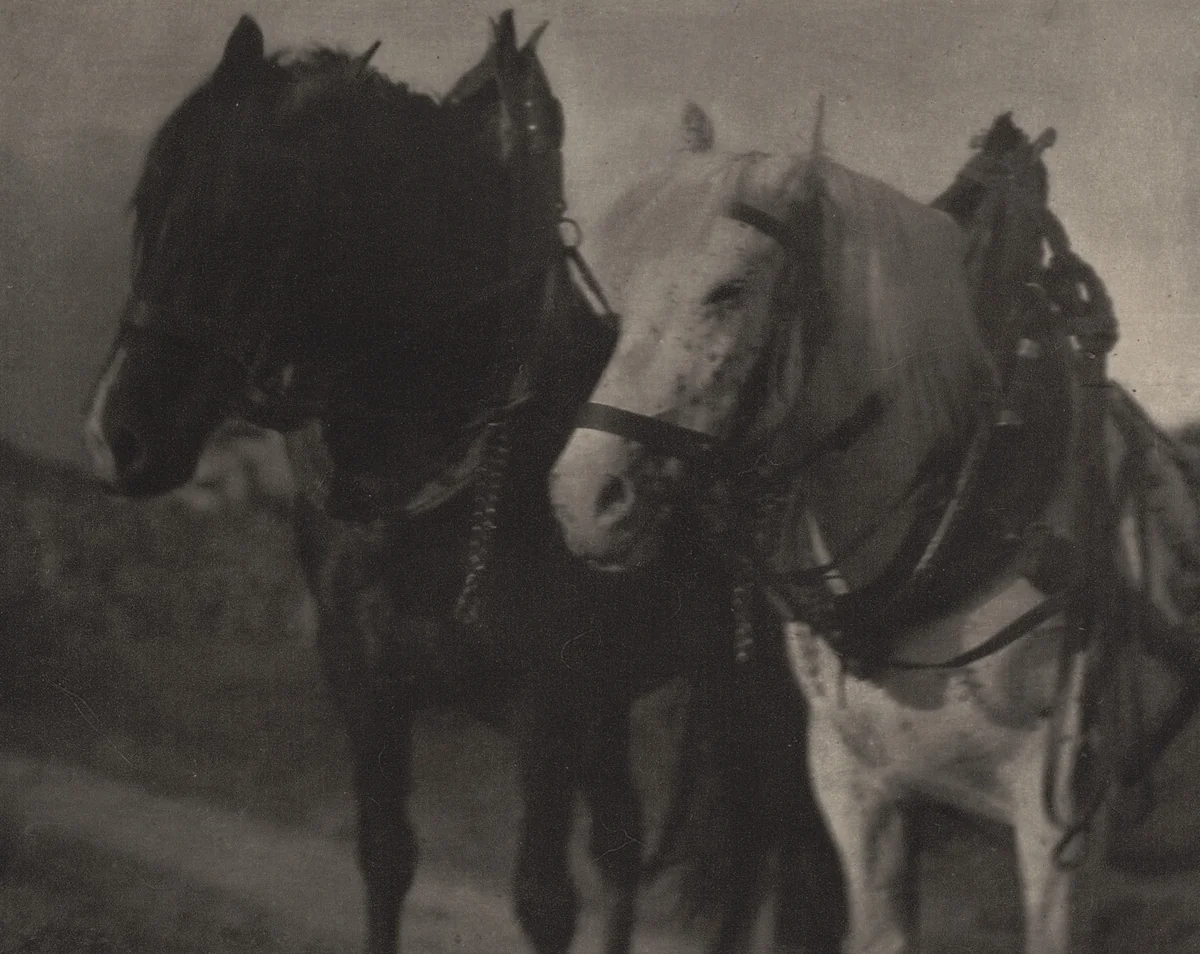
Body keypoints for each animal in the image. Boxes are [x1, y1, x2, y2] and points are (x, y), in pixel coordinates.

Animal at [81, 16, 846, 954]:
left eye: (241, 220)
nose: (116, 435)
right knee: (632, 842)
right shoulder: (370, 685)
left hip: (761, 704)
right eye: (147, 207)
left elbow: (543, 898)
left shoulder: (547, 702)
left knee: (769, 859)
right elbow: (386, 859)